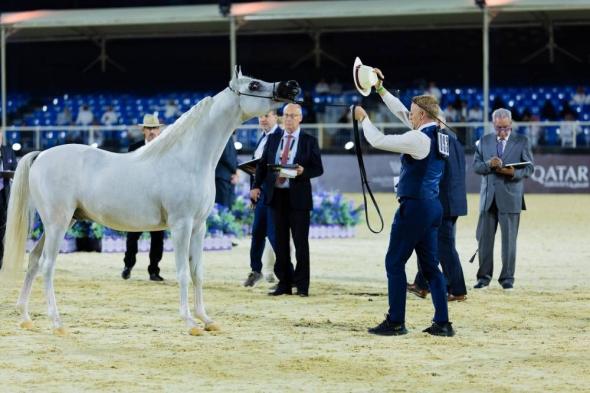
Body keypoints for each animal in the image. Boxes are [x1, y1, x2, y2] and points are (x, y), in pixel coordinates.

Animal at [2, 69, 300, 334]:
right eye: (253, 85)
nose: (292, 86)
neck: (188, 158)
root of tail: (40, 155)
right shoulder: (181, 226)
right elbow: (182, 272)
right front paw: (190, 323)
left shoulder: (199, 227)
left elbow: (197, 272)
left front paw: (206, 319)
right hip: (58, 223)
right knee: (47, 266)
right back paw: (57, 323)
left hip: (61, 223)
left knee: (33, 260)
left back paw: (26, 317)